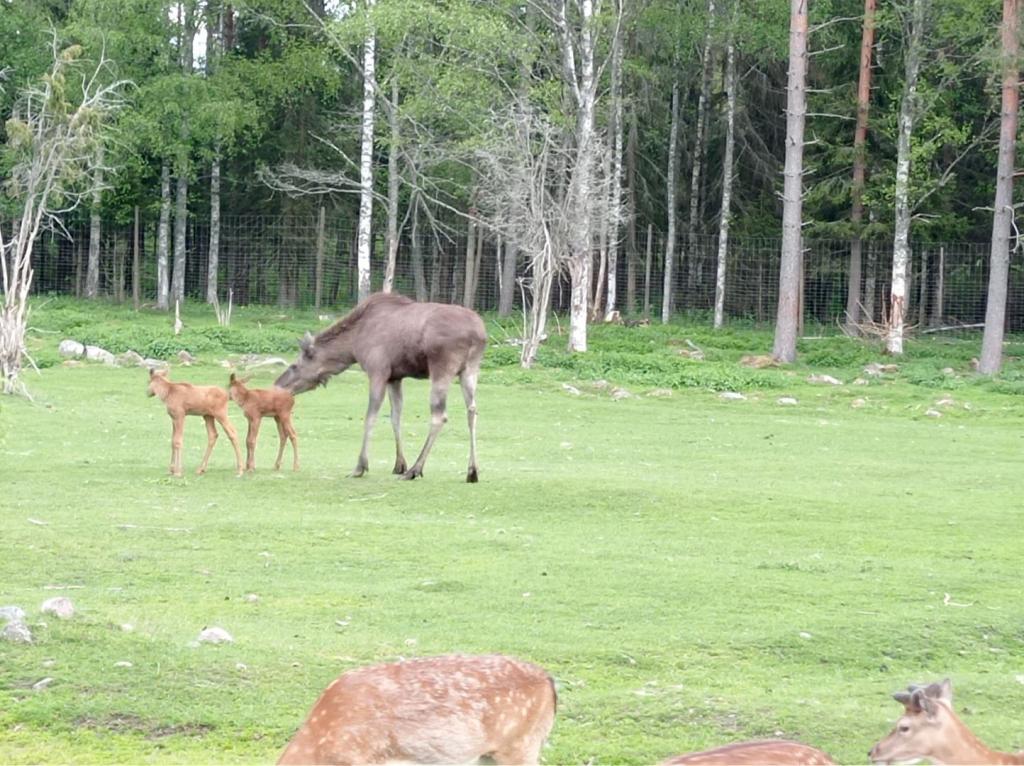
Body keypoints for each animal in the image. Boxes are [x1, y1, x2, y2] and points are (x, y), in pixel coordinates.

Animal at [276, 290, 487, 481]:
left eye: (295, 366)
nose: (278, 384)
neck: (352, 345)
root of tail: (479, 335)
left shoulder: (378, 371)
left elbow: (370, 417)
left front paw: (360, 466)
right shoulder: (395, 377)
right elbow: (395, 416)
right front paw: (399, 464)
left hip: (442, 368)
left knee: (439, 415)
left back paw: (416, 469)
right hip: (470, 370)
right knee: (472, 411)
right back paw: (472, 470)